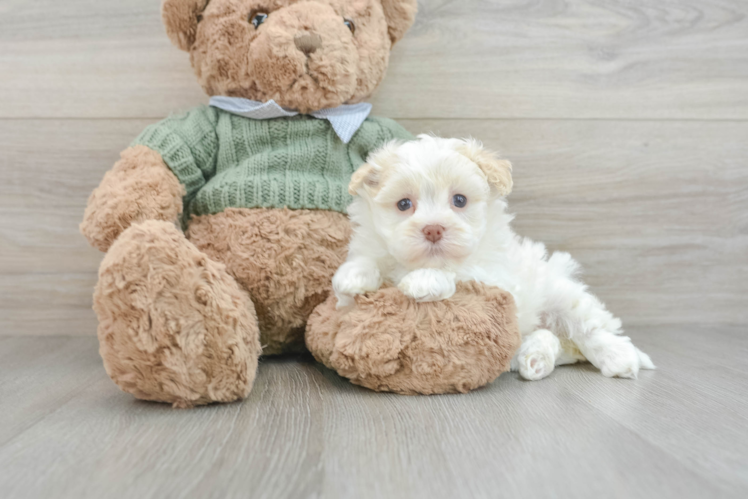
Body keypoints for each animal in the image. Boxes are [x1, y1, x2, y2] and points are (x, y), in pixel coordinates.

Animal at [334, 135, 656, 380]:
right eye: (403, 204)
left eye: (459, 200)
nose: (433, 229)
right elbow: (364, 267)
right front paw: (352, 276)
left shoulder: (497, 278)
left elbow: (459, 272)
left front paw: (425, 280)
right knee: (550, 339)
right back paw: (534, 359)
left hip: (562, 295)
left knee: (591, 328)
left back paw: (618, 357)